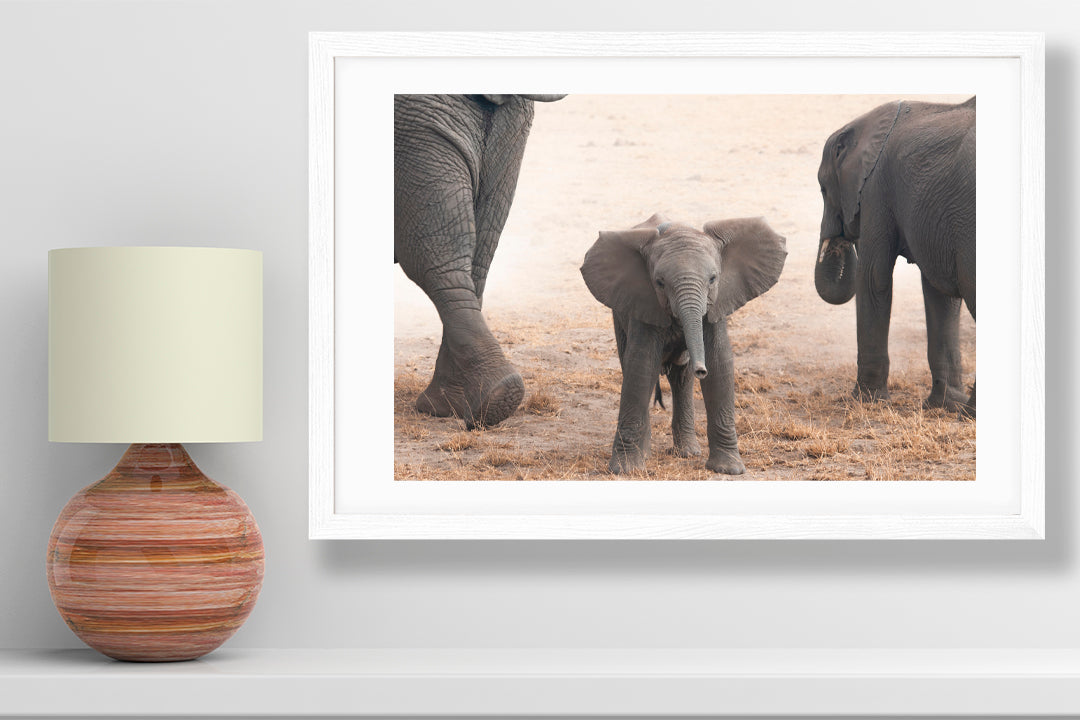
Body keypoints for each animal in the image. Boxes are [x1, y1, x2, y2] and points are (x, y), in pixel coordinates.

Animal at [395, 93, 565, 429]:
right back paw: (476, 402)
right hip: (508, 134)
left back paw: (458, 404)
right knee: (476, 259)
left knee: (436, 262)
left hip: (413, 128)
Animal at [581, 214, 787, 475]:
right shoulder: (643, 302)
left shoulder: (718, 303)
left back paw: (688, 452)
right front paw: (626, 470)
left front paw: (729, 469)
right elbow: (641, 366)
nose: (701, 369)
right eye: (659, 283)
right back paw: (647, 453)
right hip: (619, 316)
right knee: (633, 366)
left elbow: (719, 363)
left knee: (681, 378)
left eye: (713, 279)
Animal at [815, 97, 976, 416]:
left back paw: (970, 413)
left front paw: (865, 400)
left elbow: (872, 278)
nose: (846, 229)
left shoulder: (875, 190)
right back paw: (967, 412)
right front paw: (944, 406)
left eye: (822, 188)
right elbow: (941, 295)